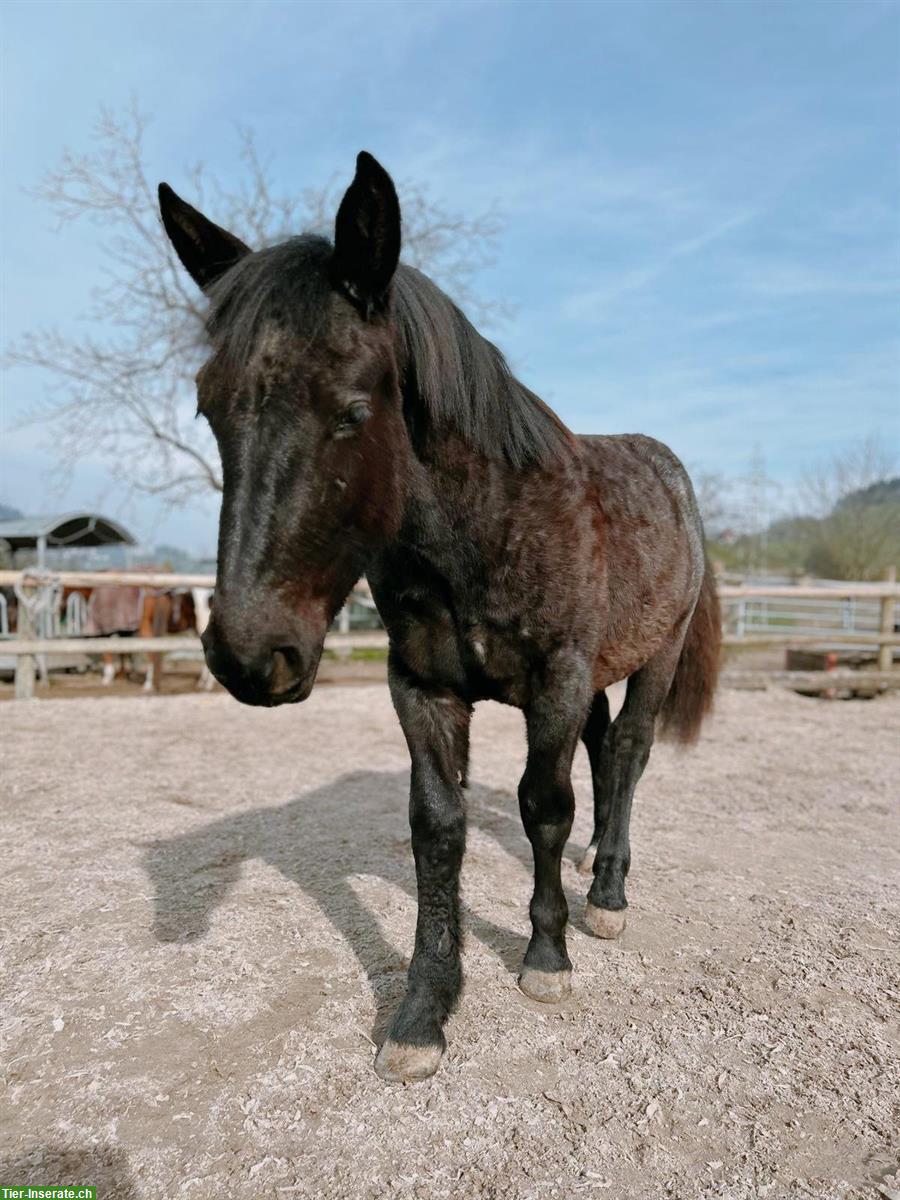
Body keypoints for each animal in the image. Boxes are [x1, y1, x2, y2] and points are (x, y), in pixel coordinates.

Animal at [154, 154, 720, 1084]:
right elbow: (437, 829)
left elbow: (542, 805)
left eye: (353, 409)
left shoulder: (556, 682)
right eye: (209, 405)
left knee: (629, 755)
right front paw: (424, 1008)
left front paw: (546, 956)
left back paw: (606, 890)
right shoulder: (420, 686)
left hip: (654, 658)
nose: (248, 653)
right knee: (606, 755)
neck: (486, 525)